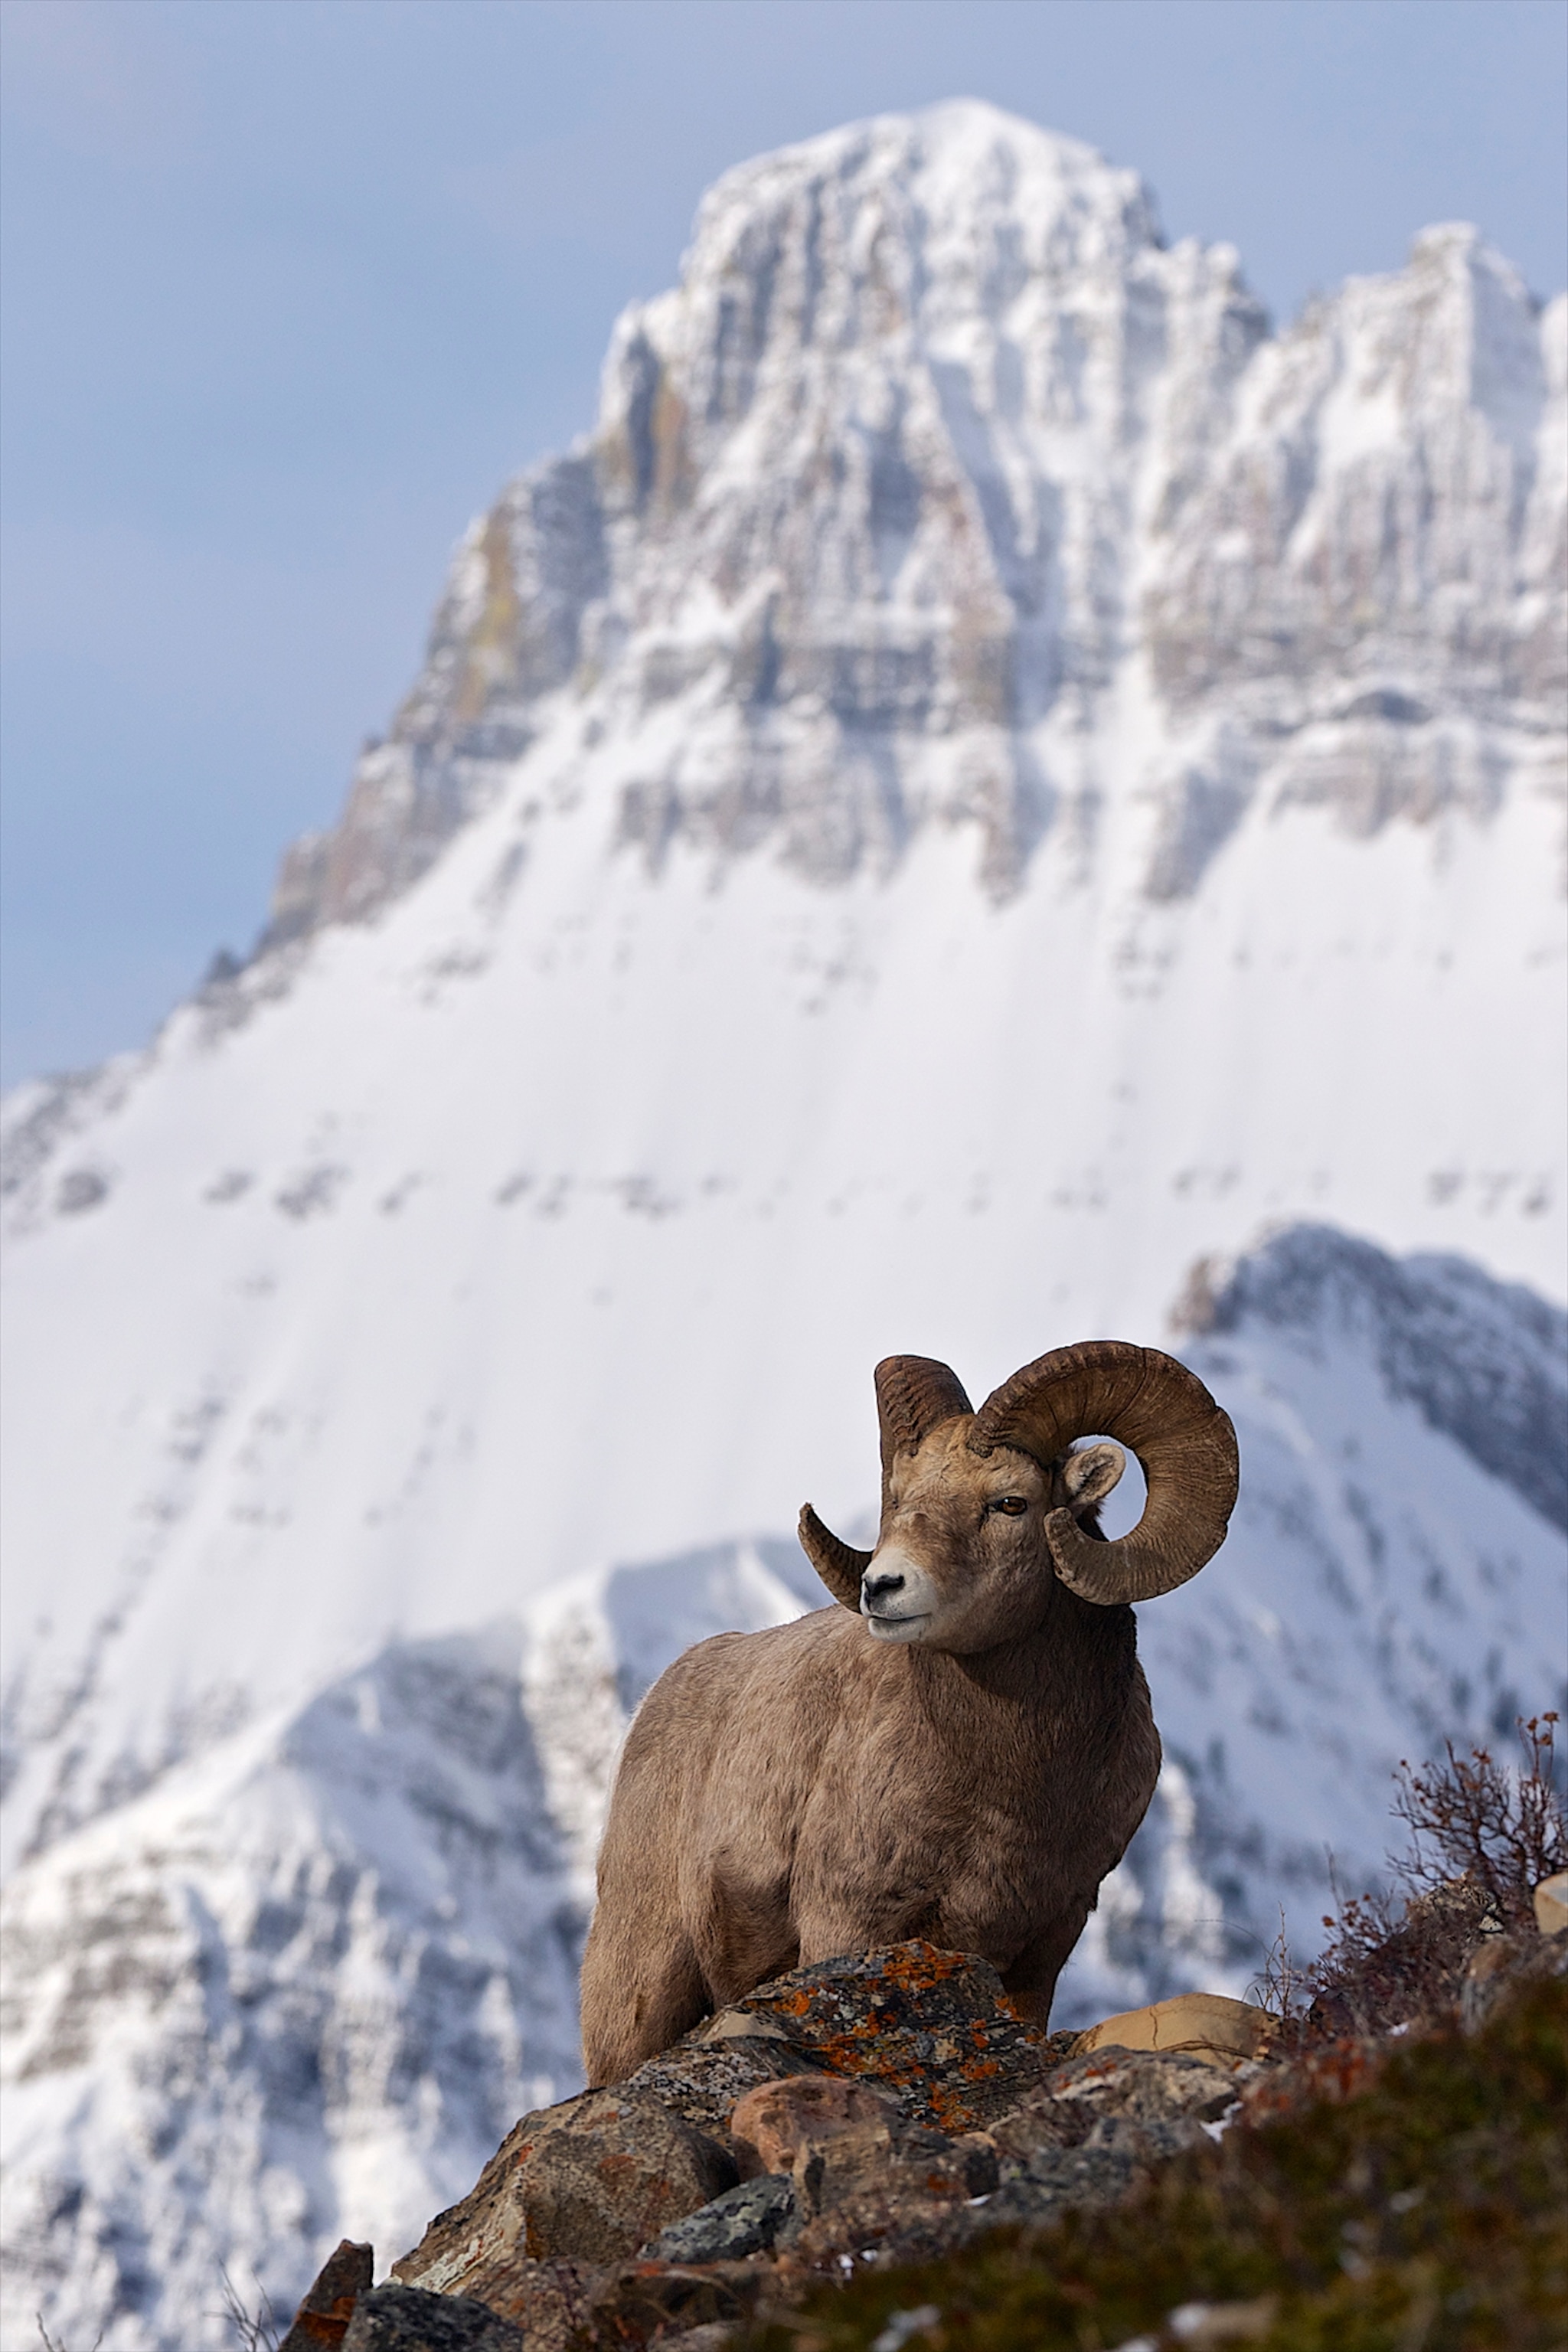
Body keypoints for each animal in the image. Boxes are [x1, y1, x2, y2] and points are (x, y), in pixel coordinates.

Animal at [579, 1341, 1239, 2085]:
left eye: (1011, 1503)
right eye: (901, 1500)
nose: (882, 1587)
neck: (1012, 1792)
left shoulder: (1044, 1945)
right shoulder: (849, 1925)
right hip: (638, 1994)